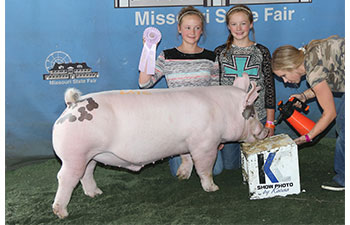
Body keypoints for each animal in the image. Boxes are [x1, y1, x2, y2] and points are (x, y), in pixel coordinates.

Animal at [50, 74, 268, 218]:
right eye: (253, 114)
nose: (265, 131)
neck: (223, 111)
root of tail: (72, 105)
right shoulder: (205, 144)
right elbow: (204, 167)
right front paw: (213, 188)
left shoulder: (185, 143)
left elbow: (186, 159)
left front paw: (181, 177)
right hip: (74, 155)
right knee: (65, 178)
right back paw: (62, 213)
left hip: (91, 155)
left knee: (86, 173)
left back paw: (96, 194)